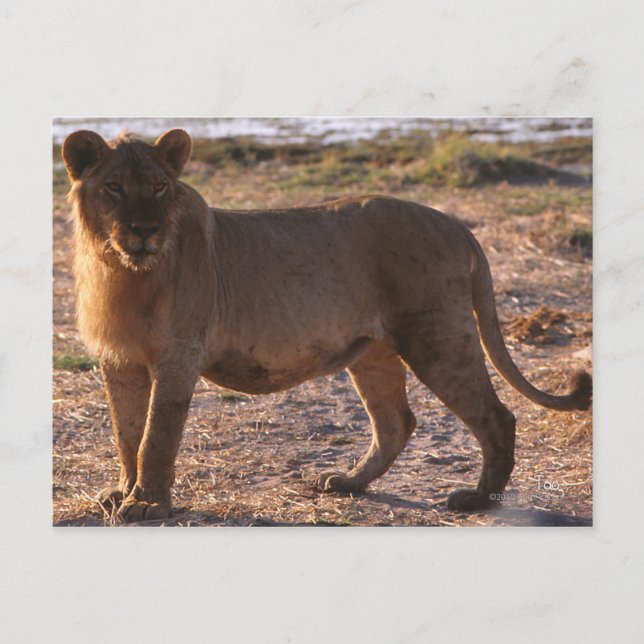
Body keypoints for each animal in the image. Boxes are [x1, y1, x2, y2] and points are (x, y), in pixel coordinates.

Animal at [61, 128, 592, 523]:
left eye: (158, 188)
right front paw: (122, 492)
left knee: (496, 417)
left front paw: (147, 504)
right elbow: (126, 433)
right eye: (114, 187)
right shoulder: (119, 359)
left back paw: (478, 499)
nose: (144, 230)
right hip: (375, 350)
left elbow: (156, 435)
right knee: (396, 421)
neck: (123, 271)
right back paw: (348, 482)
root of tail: (457, 225)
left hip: (437, 337)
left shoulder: (179, 354)